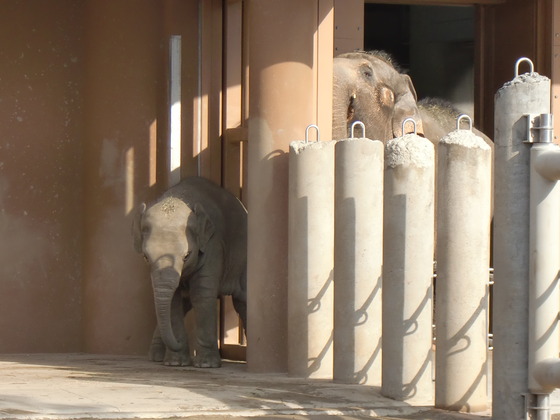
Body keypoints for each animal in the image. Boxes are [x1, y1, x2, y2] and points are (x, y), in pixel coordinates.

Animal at [132, 176, 246, 368]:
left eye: (187, 256)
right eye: (146, 257)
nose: (179, 343)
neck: (179, 198)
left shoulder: (213, 245)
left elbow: (201, 294)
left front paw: (206, 365)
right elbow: (174, 300)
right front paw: (175, 363)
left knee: (242, 301)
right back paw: (156, 357)